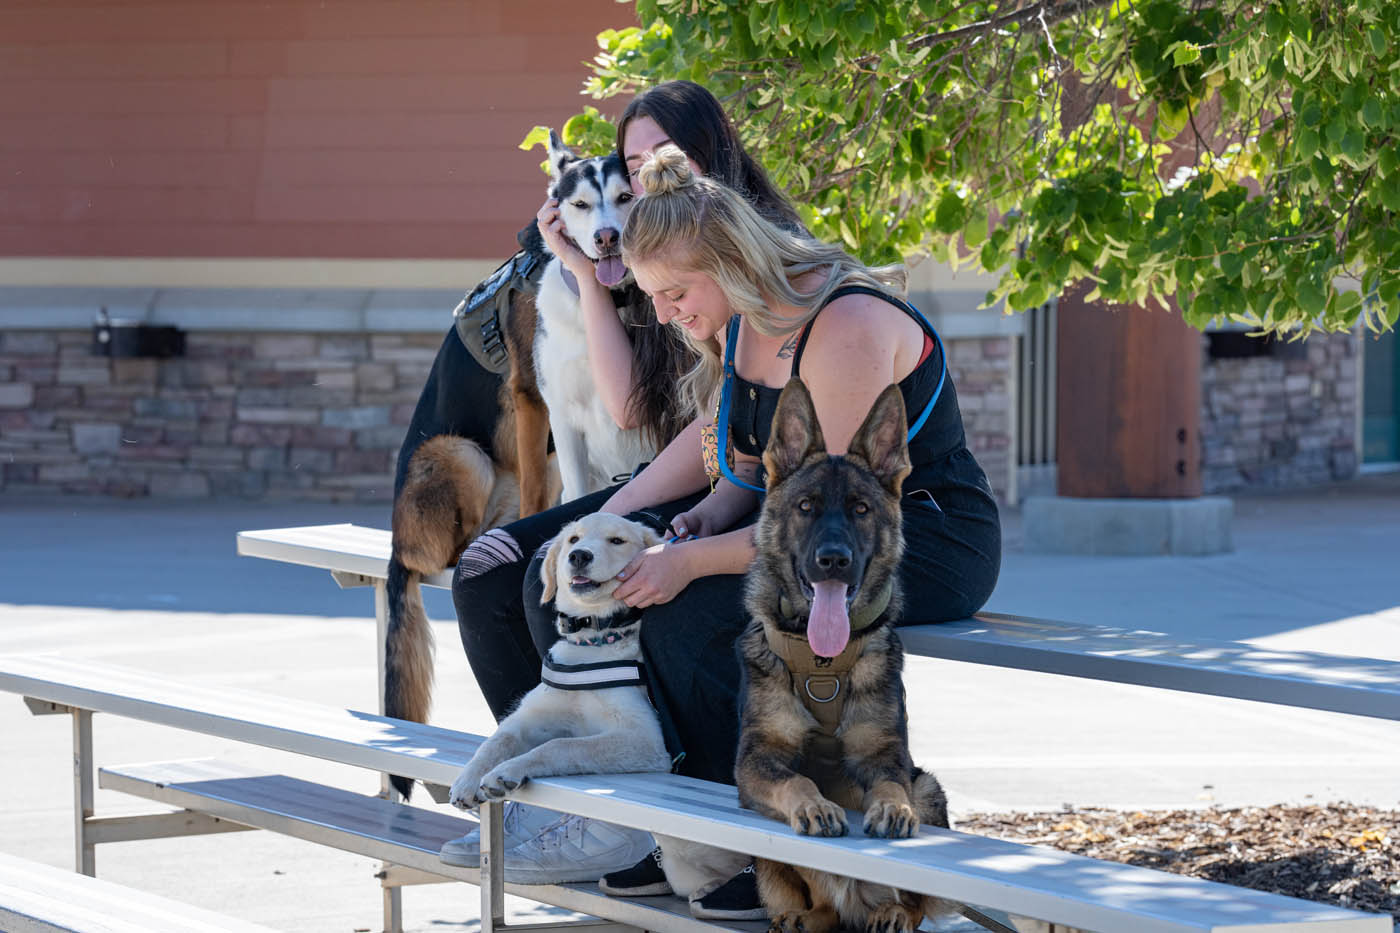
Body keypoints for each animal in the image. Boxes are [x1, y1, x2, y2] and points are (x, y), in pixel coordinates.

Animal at [532, 130, 658, 501]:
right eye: (580, 205)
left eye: (626, 196)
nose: (606, 238)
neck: (609, 303)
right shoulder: (562, 415)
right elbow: (576, 492)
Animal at [733, 378, 952, 930]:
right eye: (806, 506)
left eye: (860, 509)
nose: (834, 560)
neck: (824, 663)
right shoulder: (755, 761)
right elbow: (796, 780)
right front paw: (816, 806)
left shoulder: (887, 758)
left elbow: (891, 786)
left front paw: (891, 809)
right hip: (770, 865)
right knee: (825, 903)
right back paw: (804, 917)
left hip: (930, 788)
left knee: (912, 901)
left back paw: (892, 912)